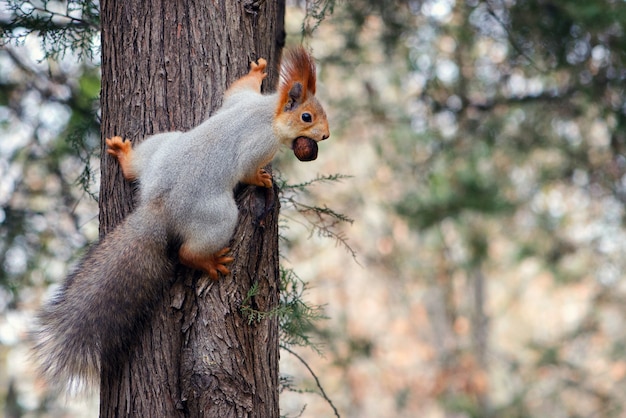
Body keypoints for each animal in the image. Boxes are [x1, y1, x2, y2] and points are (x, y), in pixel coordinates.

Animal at [31, 47, 330, 394]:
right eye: (307, 117)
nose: (326, 135)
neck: (266, 112)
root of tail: (159, 205)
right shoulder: (259, 144)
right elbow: (246, 169)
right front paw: (261, 178)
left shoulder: (241, 100)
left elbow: (235, 90)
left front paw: (256, 71)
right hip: (217, 215)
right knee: (187, 252)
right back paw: (209, 262)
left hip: (162, 146)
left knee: (138, 168)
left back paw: (126, 157)